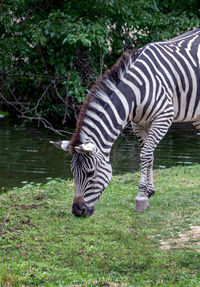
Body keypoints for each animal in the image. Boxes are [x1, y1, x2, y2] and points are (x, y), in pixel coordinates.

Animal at [50, 28, 200, 218]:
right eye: (73, 173)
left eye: (91, 173)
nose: (77, 211)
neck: (135, 92)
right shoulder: (139, 123)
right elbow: (149, 154)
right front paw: (149, 192)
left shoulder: (164, 117)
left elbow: (145, 154)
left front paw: (141, 196)